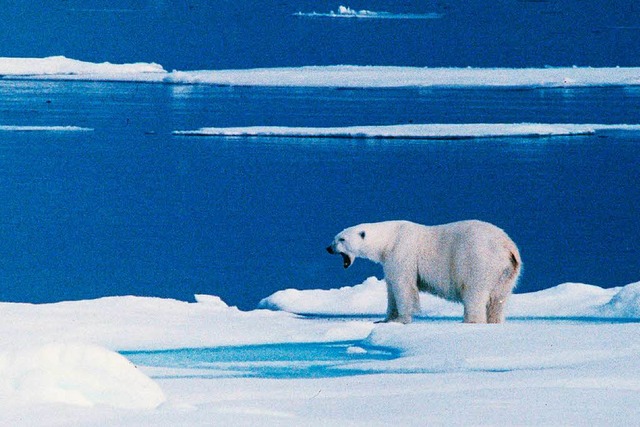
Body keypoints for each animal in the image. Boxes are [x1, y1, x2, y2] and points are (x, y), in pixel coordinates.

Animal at [324, 221, 520, 324]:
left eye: (341, 239)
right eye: (335, 237)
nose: (328, 248)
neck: (389, 239)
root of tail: (507, 247)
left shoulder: (402, 252)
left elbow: (403, 287)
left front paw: (401, 319)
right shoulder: (389, 261)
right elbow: (391, 289)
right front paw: (385, 319)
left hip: (478, 261)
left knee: (475, 293)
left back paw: (470, 321)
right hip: (507, 273)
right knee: (498, 299)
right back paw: (495, 320)